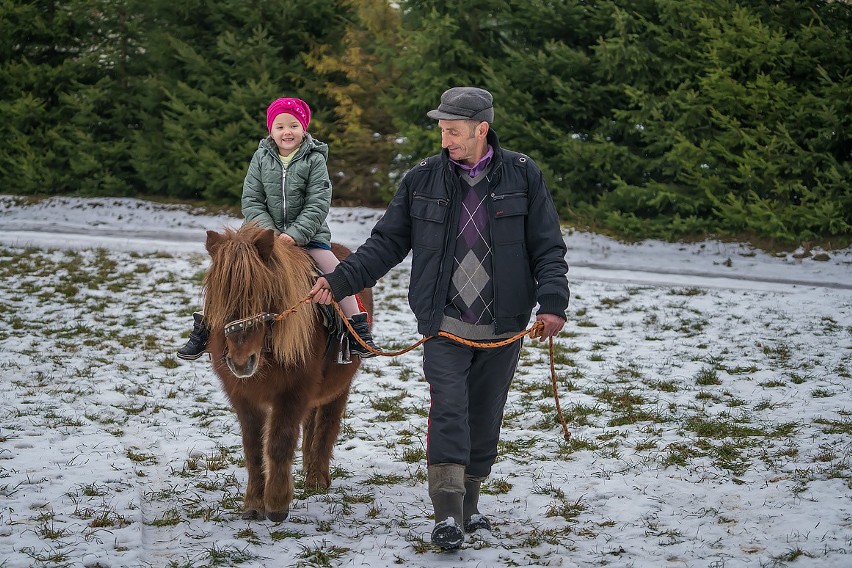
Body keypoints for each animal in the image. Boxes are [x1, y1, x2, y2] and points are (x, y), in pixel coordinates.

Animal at [203, 224, 372, 520]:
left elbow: (279, 443)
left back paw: (317, 477)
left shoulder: (293, 391)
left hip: (340, 386)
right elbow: (253, 448)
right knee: (312, 424)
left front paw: (277, 503)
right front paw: (253, 503)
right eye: (220, 297)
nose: (241, 362)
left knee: (327, 424)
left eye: (261, 293)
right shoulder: (244, 397)